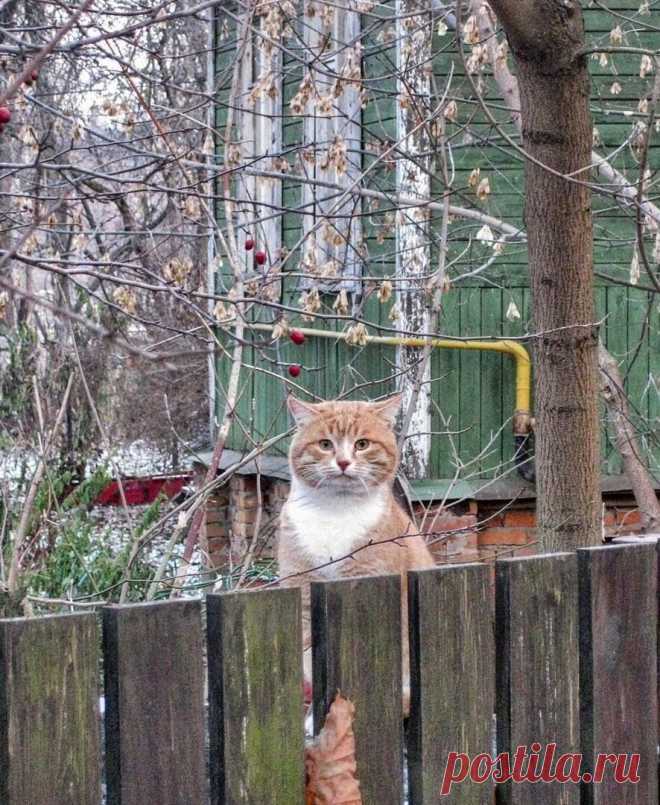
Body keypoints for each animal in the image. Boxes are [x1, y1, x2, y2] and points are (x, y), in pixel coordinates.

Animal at [278, 392, 436, 708]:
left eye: (362, 444)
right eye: (325, 444)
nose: (342, 461)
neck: (334, 510)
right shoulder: (302, 588)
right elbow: (308, 650)